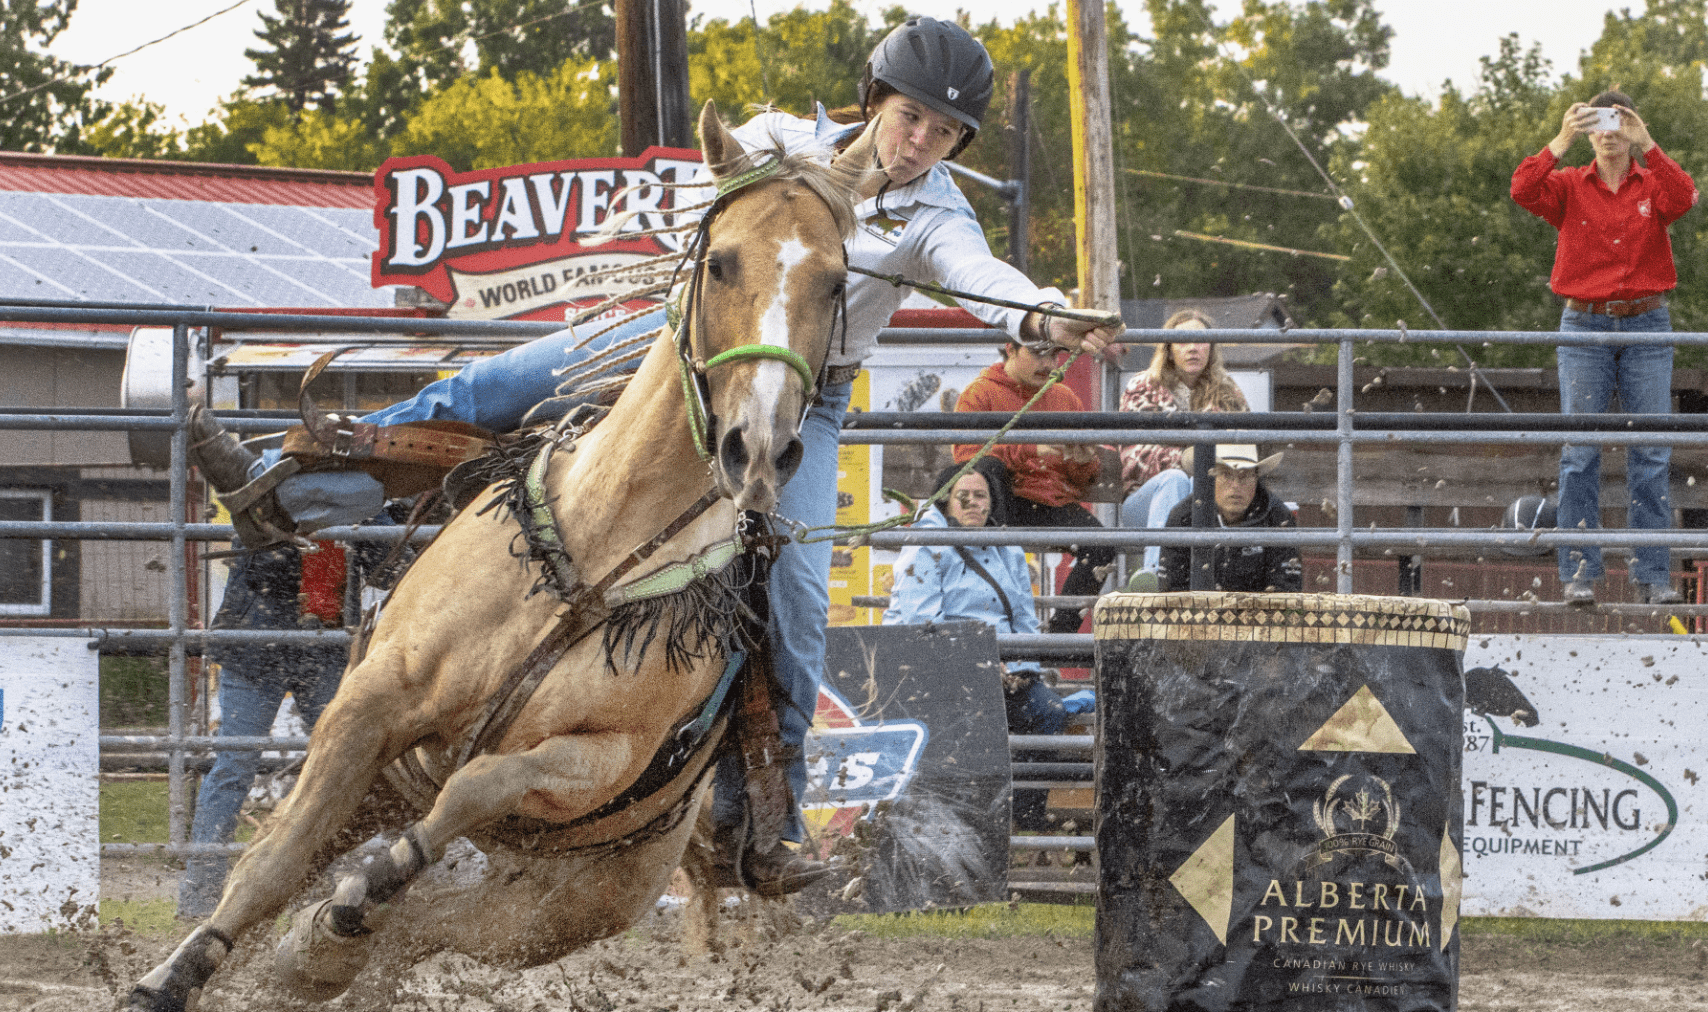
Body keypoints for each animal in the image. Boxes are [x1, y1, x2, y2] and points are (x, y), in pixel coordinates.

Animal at [125, 99, 875, 1012]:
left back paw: (327, 941)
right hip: (394, 788)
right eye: (722, 262)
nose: (756, 447)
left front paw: (348, 910)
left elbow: (476, 786)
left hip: (567, 904)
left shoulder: (600, 759)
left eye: (835, 282)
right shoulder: (373, 699)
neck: (597, 555)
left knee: (427, 924)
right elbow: (272, 860)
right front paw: (165, 981)